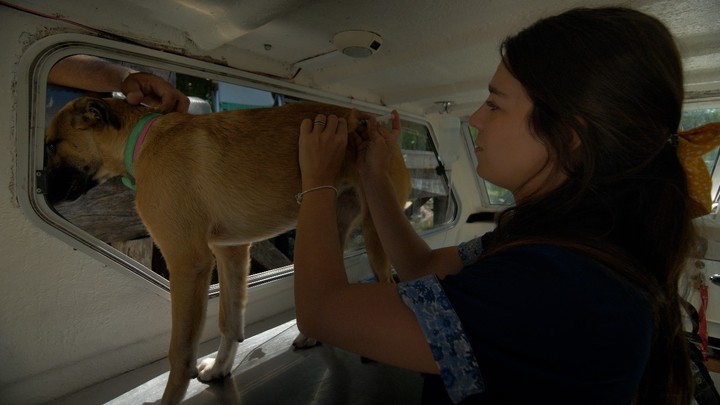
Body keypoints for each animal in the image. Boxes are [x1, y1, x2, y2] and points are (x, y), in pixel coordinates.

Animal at [46, 96, 410, 402]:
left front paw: (171, 396)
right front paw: (221, 368)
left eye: (51, 144)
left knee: (388, 282)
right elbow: (229, 322)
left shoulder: (187, 262)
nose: (40, 185)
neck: (143, 139)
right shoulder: (230, 252)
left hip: (376, 231)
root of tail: (376, 125)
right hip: (328, 224)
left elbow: (180, 352)